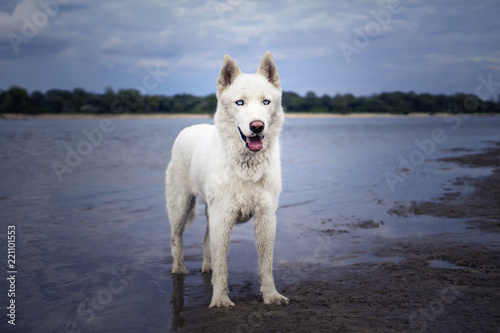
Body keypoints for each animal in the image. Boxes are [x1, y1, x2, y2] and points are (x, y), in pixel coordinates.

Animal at [166, 52, 290, 308]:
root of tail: (188, 128)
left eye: (266, 102)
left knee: (206, 240)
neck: (246, 166)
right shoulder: (222, 218)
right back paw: (179, 269)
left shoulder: (265, 216)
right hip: (180, 207)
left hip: (209, 212)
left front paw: (271, 295)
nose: (257, 126)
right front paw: (221, 300)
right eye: (239, 103)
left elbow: (266, 265)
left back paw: (207, 267)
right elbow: (223, 266)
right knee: (176, 240)